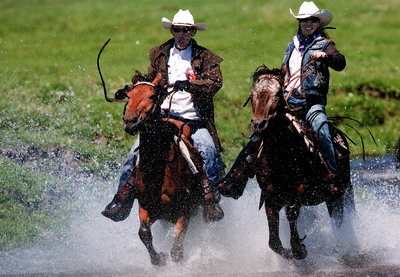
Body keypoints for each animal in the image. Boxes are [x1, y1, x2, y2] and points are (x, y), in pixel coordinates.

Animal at [122, 74, 206, 266]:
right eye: (128, 96)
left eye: (152, 96)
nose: (131, 121)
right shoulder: (147, 207)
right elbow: (144, 233)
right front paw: (158, 258)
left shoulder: (185, 210)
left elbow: (177, 247)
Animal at [248, 66, 354, 258]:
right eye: (253, 94)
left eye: (278, 94)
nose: (259, 124)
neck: (281, 154)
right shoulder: (270, 195)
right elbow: (273, 239)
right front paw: (290, 251)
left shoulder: (298, 191)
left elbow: (292, 213)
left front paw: (298, 248)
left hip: (337, 193)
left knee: (338, 218)